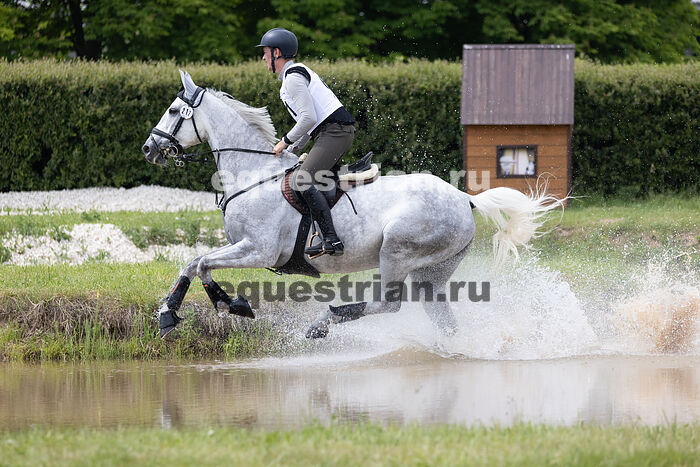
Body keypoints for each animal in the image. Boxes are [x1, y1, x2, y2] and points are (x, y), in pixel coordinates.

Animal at [142, 71, 564, 339]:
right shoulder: (242, 247)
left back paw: (325, 319)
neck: (254, 173)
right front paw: (173, 313)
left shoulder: (259, 250)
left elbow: (202, 263)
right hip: (434, 270)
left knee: (388, 305)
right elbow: (194, 262)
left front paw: (227, 305)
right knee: (439, 315)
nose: (148, 148)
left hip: (397, 251)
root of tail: (465, 198)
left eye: (172, 111)